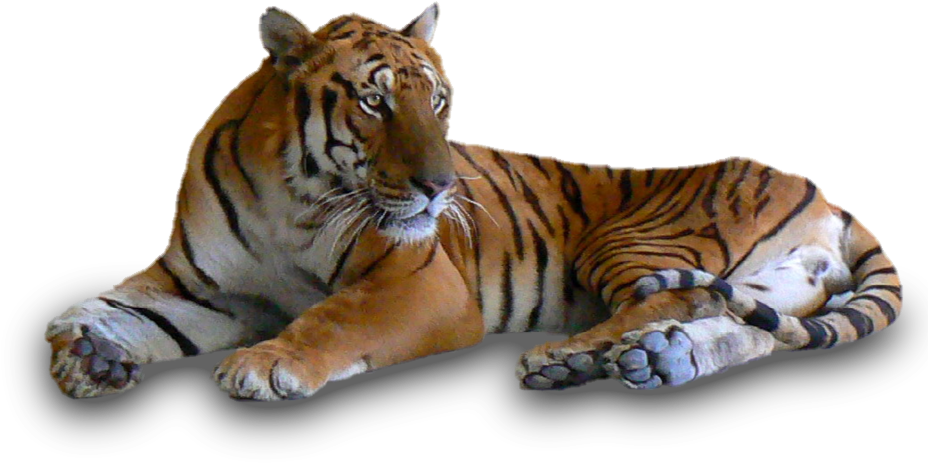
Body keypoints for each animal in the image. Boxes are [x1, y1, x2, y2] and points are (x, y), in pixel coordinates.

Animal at [45, 2, 902, 400]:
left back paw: (566, 359)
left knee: (674, 300)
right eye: (374, 102)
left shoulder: (419, 281)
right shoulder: (201, 285)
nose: (440, 187)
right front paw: (88, 352)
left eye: (439, 100)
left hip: (636, 239)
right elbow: (111, 307)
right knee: (746, 327)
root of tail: (827, 191)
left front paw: (264, 363)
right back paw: (656, 360)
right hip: (770, 290)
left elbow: (333, 320)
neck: (286, 195)